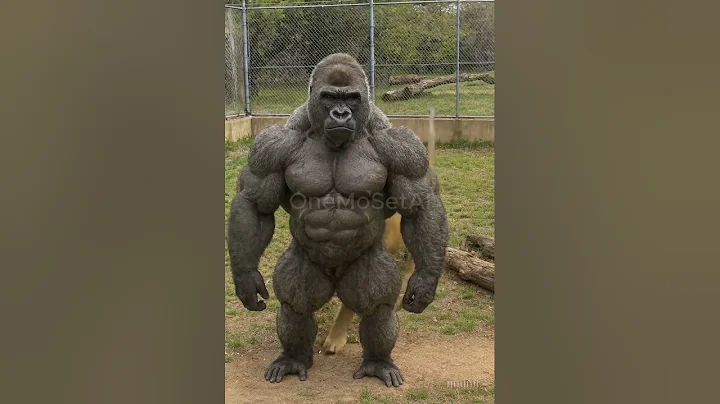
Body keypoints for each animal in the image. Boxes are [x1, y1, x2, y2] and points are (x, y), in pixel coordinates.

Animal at [227, 53, 449, 388]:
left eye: (352, 98)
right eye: (330, 97)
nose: (341, 113)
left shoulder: (403, 147)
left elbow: (419, 205)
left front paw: (424, 281)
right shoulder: (270, 144)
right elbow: (254, 205)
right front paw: (245, 278)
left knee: (376, 306)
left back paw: (377, 361)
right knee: (296, 303)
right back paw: (294, 357)